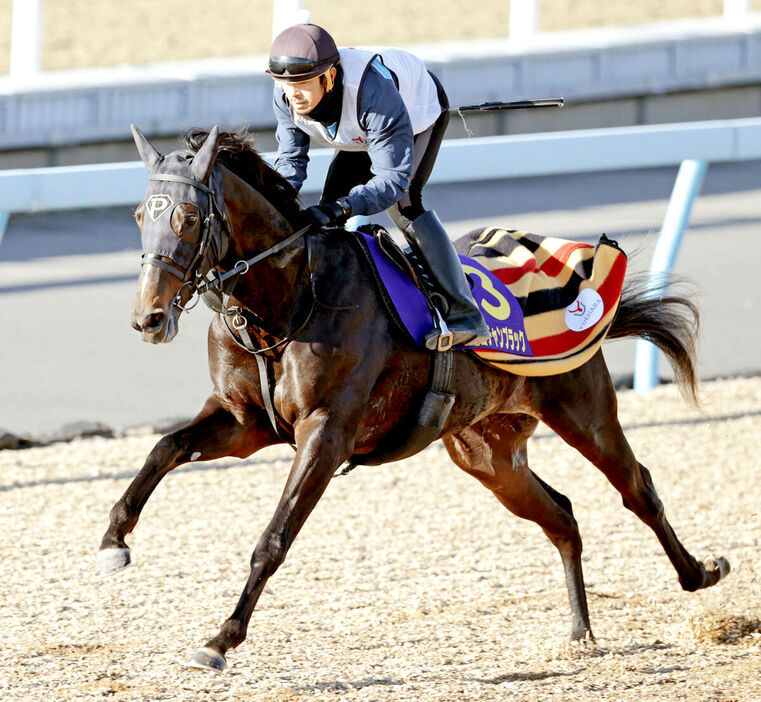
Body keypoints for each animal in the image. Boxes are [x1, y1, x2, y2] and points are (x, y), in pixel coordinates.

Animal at [96, 128, 732, 676]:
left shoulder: (326, 431)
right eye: (138, 216)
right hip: (488, 453)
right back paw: (580, 631)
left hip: (583, 411)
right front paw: (113, 542)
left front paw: (220, 639)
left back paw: (702, 572)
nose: (148, 318)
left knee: (638, 487)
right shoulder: (244, 420)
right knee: (561, 514)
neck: (290, 295)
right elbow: (164, 448)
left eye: (187, 217)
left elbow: (273, 540)